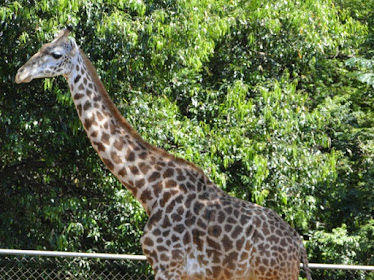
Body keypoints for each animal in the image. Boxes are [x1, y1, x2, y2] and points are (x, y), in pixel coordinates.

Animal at [15, 27, 312, 280]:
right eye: (41, 46)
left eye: (55, 54)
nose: (20, 73)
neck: (148, 188)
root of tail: (298, 245)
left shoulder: (169, 265)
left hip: (273, 274)